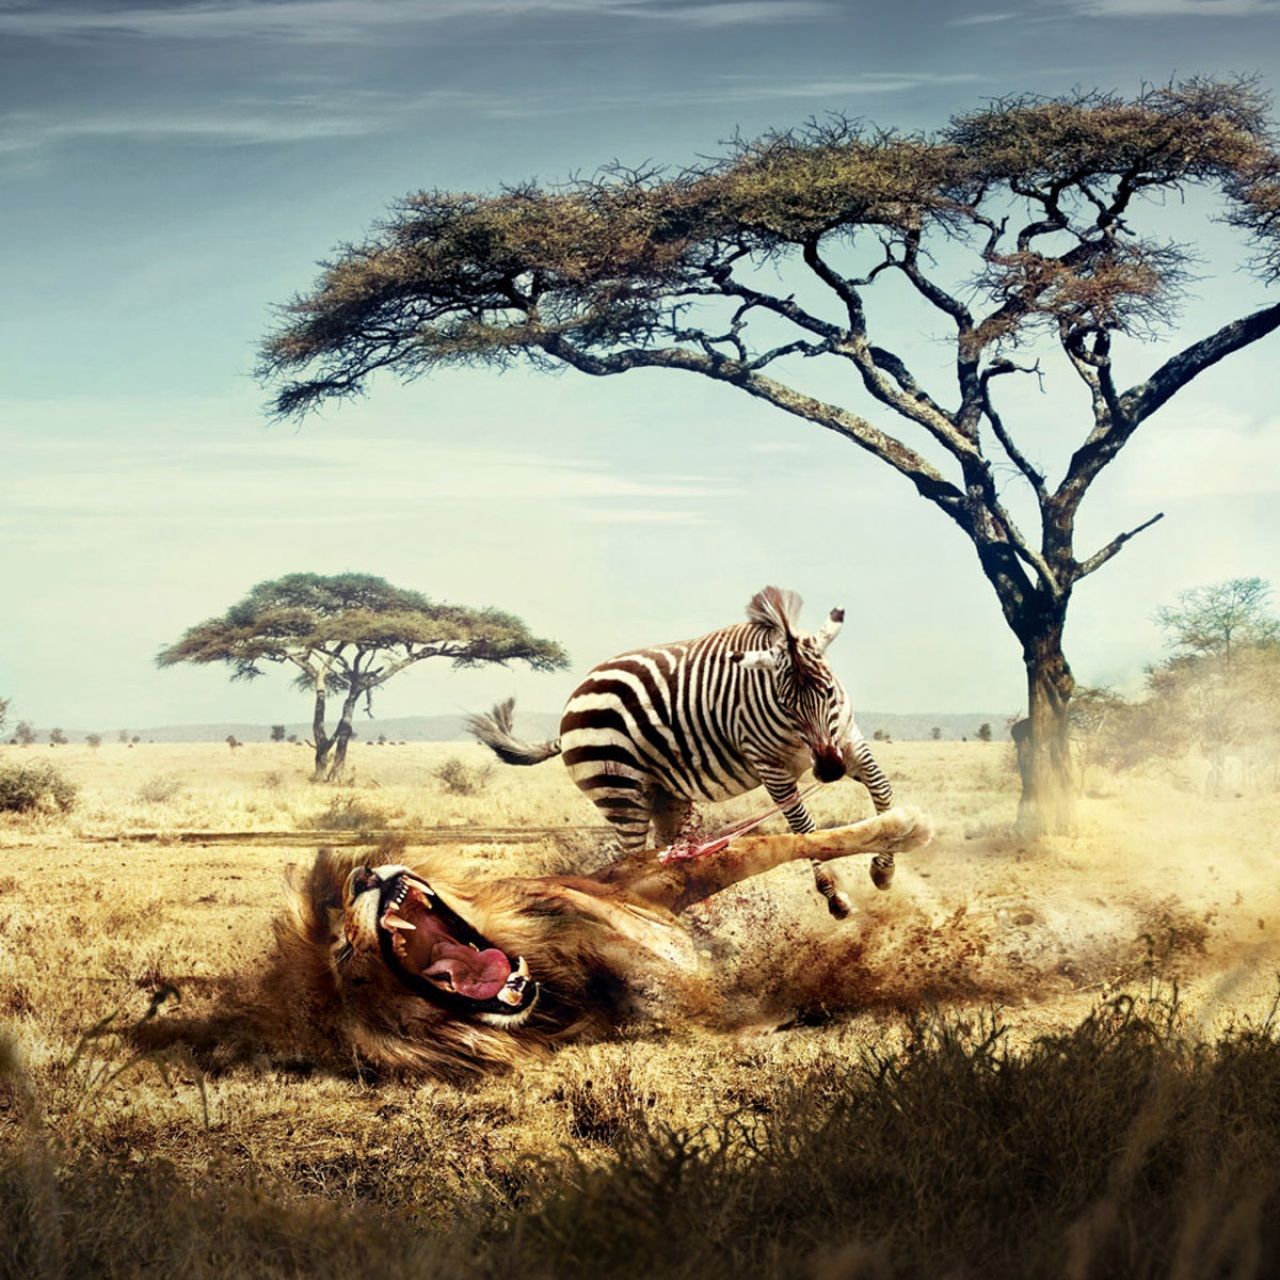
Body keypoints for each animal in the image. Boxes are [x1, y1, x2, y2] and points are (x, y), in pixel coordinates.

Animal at [254, 807, 932, 1080]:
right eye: (344, 955)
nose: (365, 878)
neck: (552, 979)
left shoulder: (650, 881)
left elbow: (782, 843)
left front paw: (902, 830)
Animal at [467, 587, 896, 917]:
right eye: (786, 703)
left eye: (828, 691)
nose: (828, 771)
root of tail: (574, 699)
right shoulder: (771, 768)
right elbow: (806, 830)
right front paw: (835, 897)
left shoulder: (847, 741)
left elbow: (883, 791)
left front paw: (883, 870)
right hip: (619, 791)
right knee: (629, 860)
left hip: (664, 794)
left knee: (664, 856)